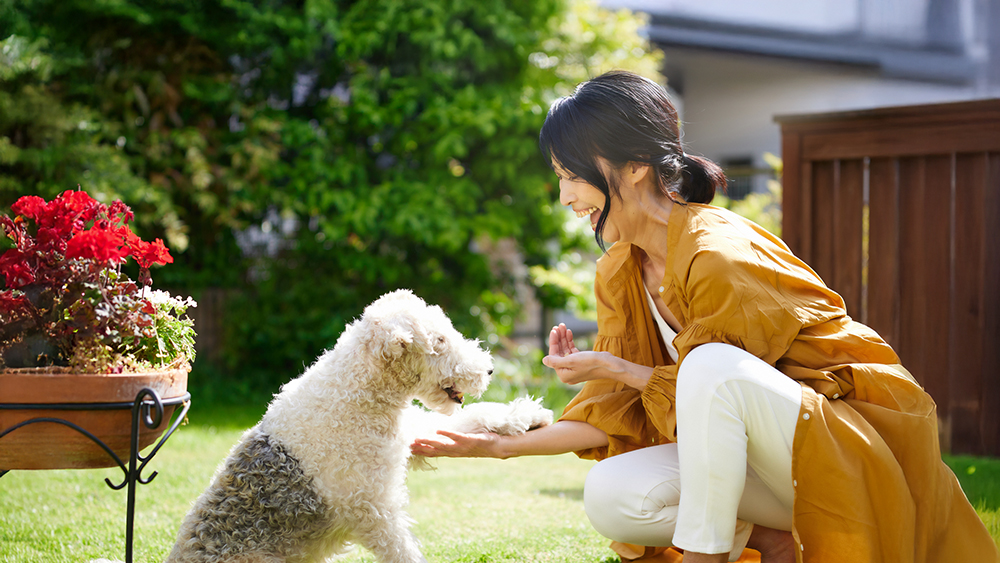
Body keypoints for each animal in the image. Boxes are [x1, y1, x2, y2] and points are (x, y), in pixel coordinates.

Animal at [165, 290, 556, 563]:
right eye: (440, 341)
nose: (489, 370)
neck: (356, 392)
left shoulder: (413, 434)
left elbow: (472, 417)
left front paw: (527, 416)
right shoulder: (374, 509)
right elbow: (404, 552)